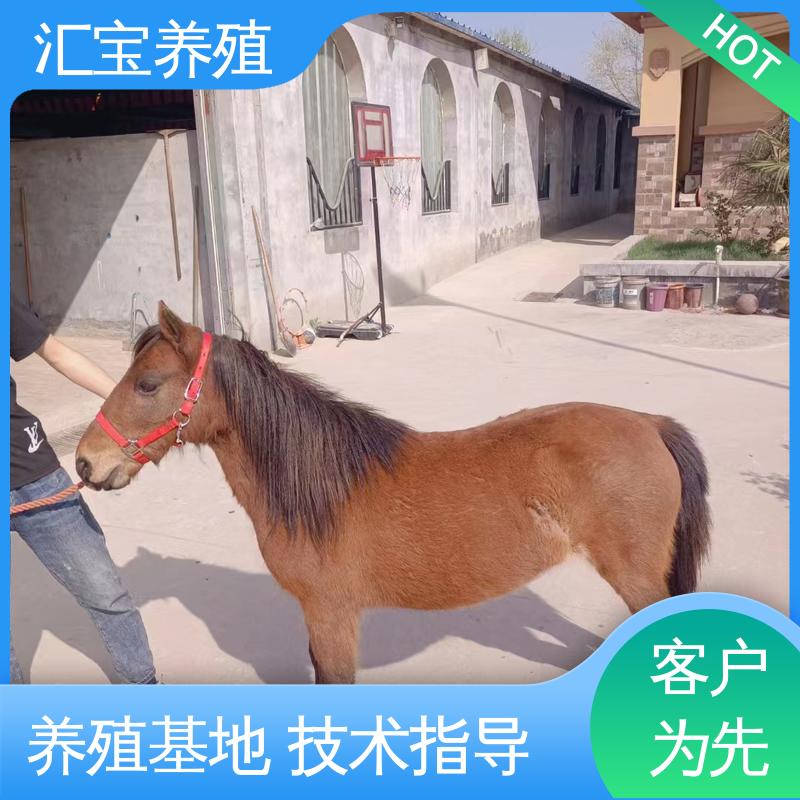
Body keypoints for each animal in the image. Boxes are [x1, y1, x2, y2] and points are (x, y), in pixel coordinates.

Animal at [76, 302, 711, 684]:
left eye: (148, 383)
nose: (85, 462)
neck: (320, 484)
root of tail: (650, 423)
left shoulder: (332, 617)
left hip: (635, 578)